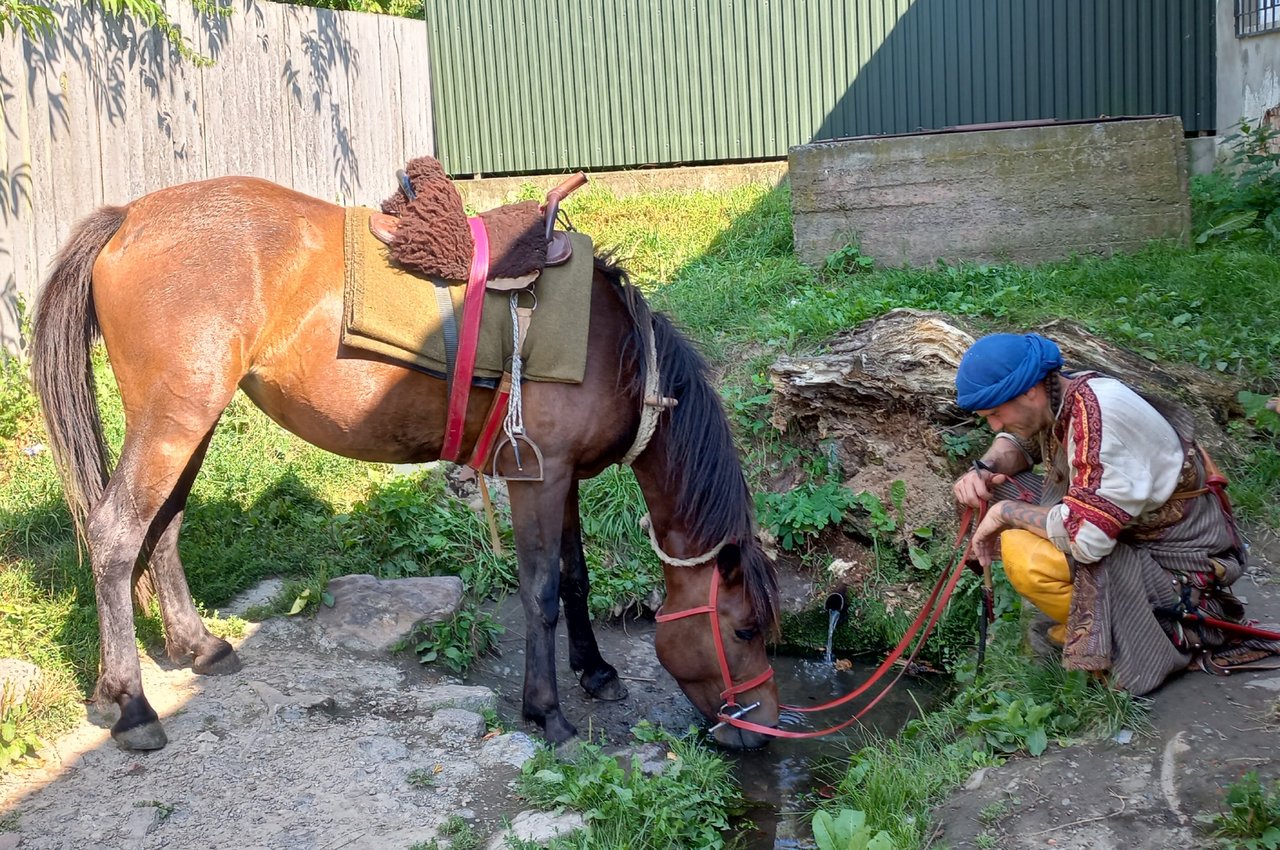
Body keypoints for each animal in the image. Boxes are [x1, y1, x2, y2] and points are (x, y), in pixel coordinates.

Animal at [32, 175, 778, 747]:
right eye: (744, 629)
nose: (763, 731)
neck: (614, 348)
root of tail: (130, 215)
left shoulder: (562, 478)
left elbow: (574, 580)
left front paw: (595, 672)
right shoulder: (535, 477)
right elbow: (539, 594)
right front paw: (548, 713)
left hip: (191, 420)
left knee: (164, 526)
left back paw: (198, 647)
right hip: (174, 418)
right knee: (116, 535)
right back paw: (130, 704)